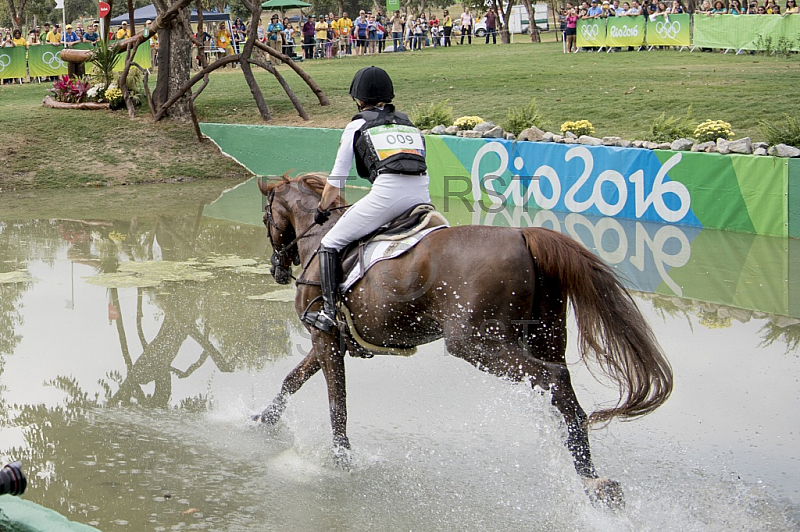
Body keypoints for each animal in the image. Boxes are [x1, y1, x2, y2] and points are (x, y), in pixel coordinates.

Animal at [255, 176, 668, 508]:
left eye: (266, 219)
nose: (277, 270)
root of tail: (522, 235)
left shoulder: (324, 337)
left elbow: (336, 402)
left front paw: (341, 459)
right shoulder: (330, 341)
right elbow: (293, 380)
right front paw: (264, 419)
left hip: (476, 344)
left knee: (553, 379)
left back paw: (590, 479)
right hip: (544, 336)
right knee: (562, 393)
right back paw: (590, 476)